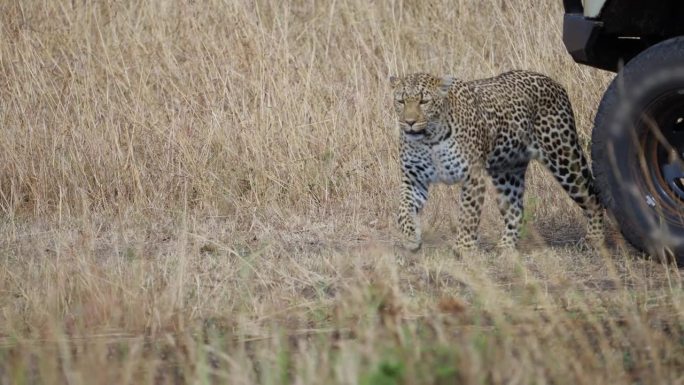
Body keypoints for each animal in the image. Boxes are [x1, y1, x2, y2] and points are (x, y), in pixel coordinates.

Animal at [390, 70, 604, 254]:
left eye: (424, 101)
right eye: (400, 101)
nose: (409, 122)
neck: (429, 139)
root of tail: (553, 82)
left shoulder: (472, 176)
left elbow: (468, 214)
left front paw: (463, 248)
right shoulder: (414, 178)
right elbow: (403, 210)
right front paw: (411, 238)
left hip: (564, 157)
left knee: (592, 196)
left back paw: (594, 239)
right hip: (507, 171)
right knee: (516, 210)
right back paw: (505, 247)